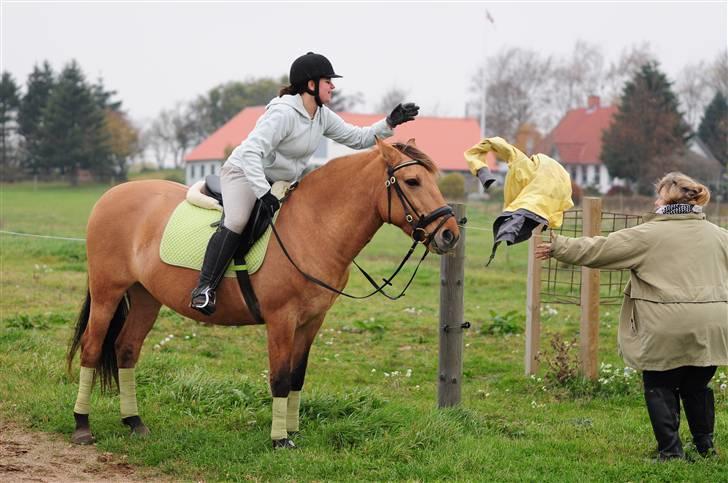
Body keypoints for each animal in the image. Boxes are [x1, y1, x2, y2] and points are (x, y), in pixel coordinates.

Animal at [65, 138, 458, 448]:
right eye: (412, 181)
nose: (450, 233)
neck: (313, 227)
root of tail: (112, 194)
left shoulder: (312, 322)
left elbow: (297, 376)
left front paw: (293, 430)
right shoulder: (281, 320)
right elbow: (280, 377)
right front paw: (279, 439)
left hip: (146, 297)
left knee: (126, 350)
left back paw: (134, 422)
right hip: (107, 293)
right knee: (92, 348)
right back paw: (82, 426)